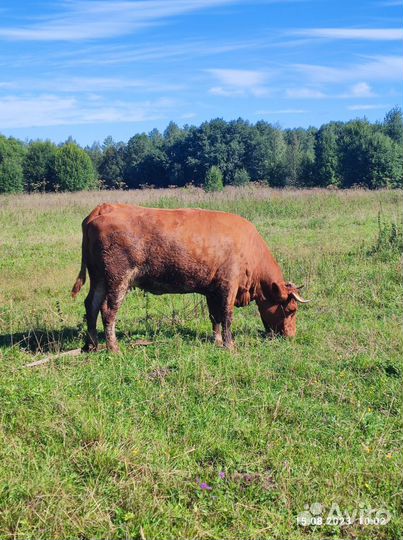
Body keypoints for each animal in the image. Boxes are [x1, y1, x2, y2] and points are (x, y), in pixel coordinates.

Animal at [72, 201, 310, 350]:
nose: (291, 336)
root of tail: (104, 208)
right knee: (108, 311)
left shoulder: (212, 289)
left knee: (91, 305)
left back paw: (92, 345)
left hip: (99, 278)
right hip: (118, 279)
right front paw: (229, 345)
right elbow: (227, 316)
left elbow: (215, 316)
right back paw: (113, 348)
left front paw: (216, 340)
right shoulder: (229, 284)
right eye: (291, 310)